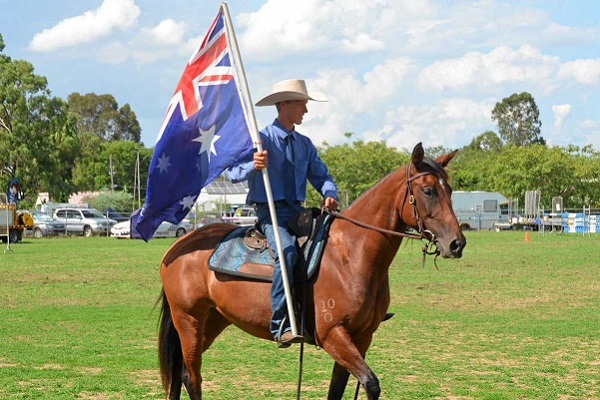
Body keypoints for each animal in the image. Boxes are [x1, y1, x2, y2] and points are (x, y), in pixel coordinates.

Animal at [157, 142, 466, 398]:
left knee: (180, 374)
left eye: (450, 191)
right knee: (192, 377)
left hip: (213, 320)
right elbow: (370, 383)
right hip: (188, 319)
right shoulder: (334, 336)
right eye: (428, 190)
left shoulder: (361, 337)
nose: (457, 243)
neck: (350, 255)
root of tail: (179, 244)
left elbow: (337, 389)